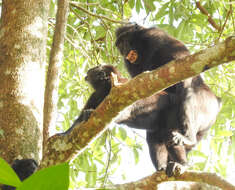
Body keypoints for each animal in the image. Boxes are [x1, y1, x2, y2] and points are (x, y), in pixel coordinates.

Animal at [114, 24, 221, 177]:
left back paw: (186, 145)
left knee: (187, 93)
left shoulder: (153, 36)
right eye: (120, 45)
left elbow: (180, 62)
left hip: (207, 105)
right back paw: (165, 166)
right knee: (157, 132)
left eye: (125, 40)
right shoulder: (129, 63)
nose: (124, 49)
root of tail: (217, 101)